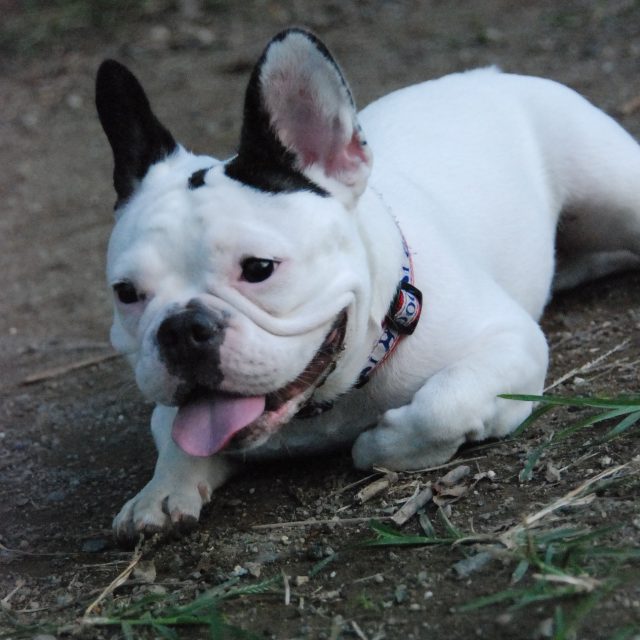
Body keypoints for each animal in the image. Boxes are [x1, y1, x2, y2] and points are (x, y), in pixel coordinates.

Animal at [96, 28, 640, 541]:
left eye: (259, 269)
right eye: (126, 293)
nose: (182, 329)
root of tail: (492, 75)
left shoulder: (511, 341)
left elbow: (445, 402)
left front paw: (382, 444)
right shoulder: (174, 414)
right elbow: (176, 439)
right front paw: (160, 493)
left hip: (614, 190)